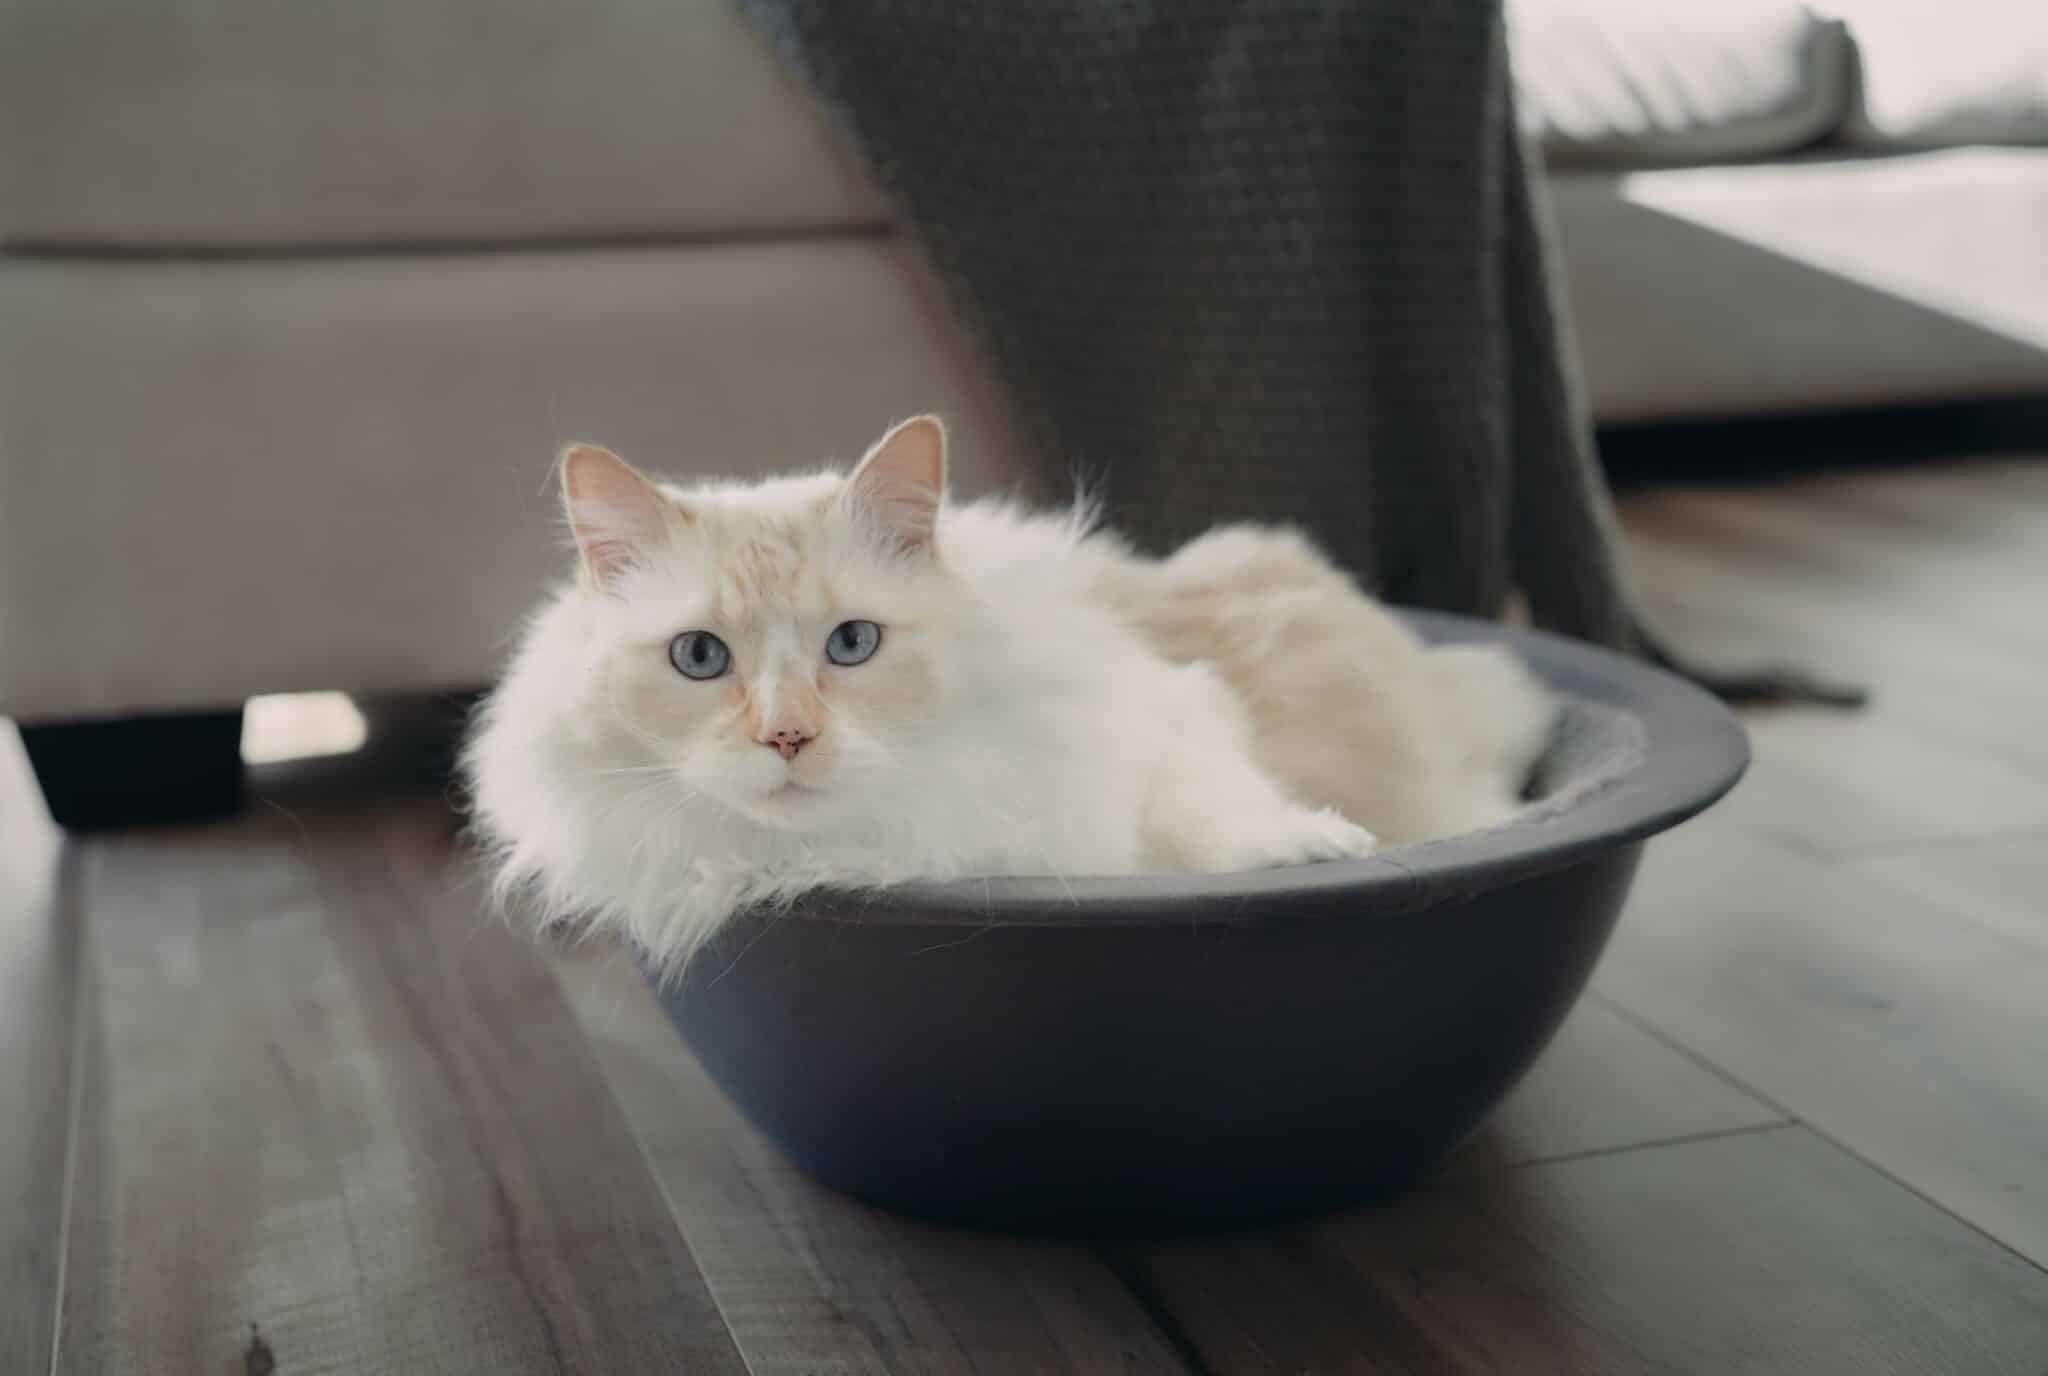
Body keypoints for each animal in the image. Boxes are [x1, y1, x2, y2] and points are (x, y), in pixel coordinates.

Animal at [464, 415, 1548, 966]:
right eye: (699, 658)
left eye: (851, 644)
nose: (786, 738)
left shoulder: (1165, 716)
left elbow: (1212, 810)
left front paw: (1309, 848)